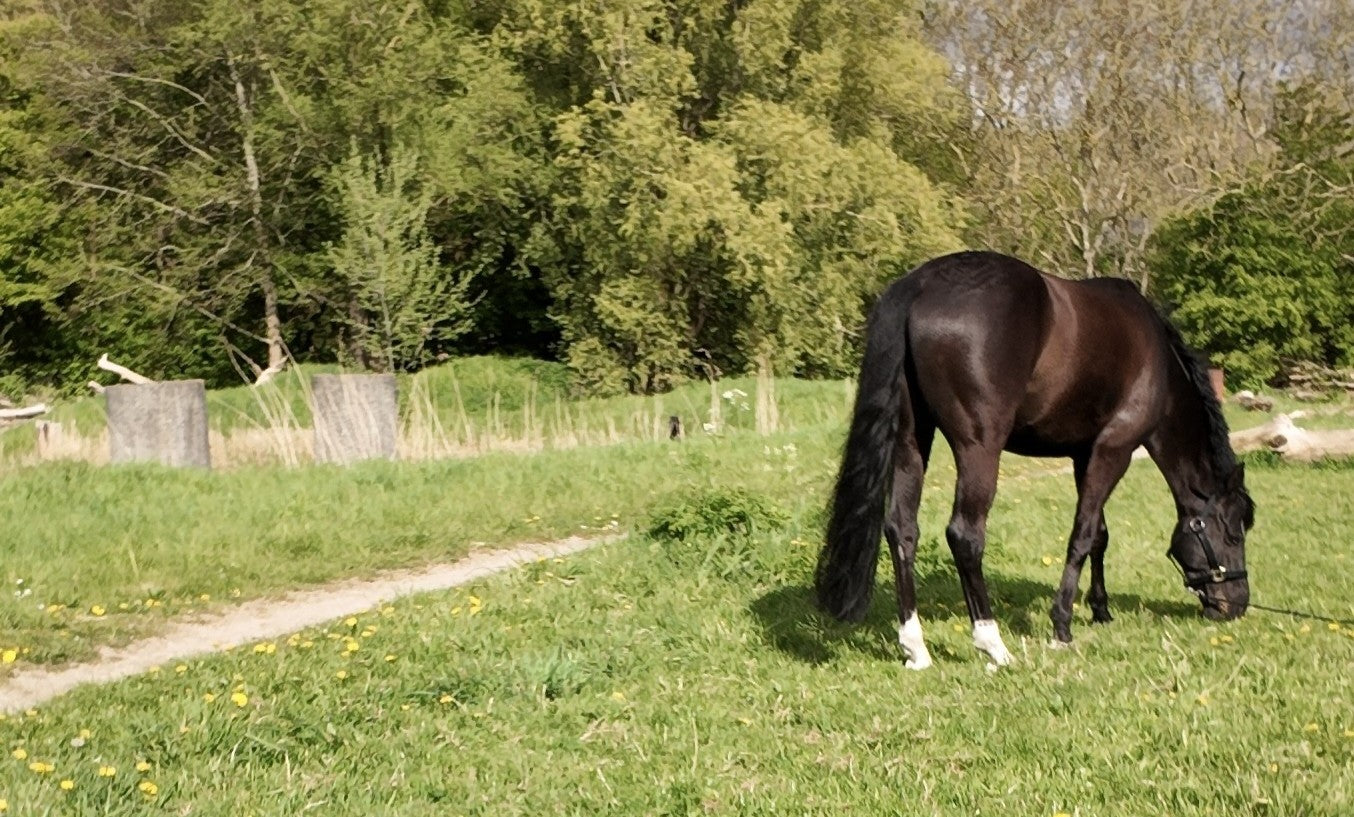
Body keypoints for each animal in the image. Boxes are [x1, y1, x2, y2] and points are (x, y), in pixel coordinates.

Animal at [815, 251, 1255, 669]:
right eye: (1235, 532)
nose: (1237, 604)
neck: (1157, 361)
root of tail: (921, 284)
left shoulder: (1084, 455)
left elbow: (1100, 535)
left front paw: (1100, 610)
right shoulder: (1114, 451)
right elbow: (1082, 536)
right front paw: (1062, 625)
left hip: (910, 441)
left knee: (902, 529)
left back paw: (915, 646)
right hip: (979, 449)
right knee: (965, 535)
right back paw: (992, 644)